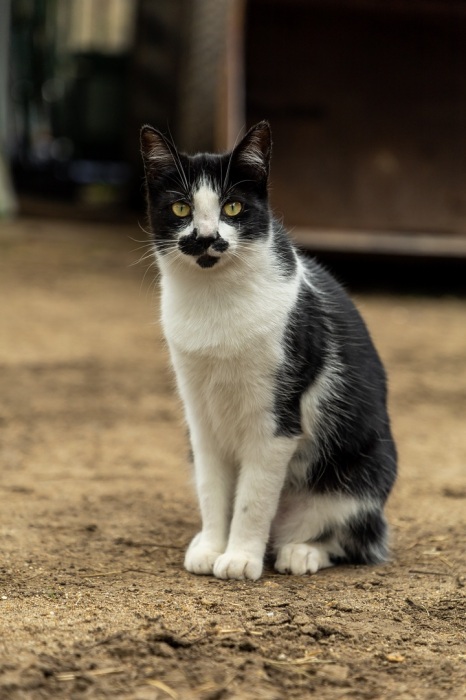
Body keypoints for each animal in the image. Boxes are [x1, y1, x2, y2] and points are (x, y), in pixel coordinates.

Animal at [139, 120, 396, 580]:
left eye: (233, 207)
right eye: (181, 209)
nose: (206, 238)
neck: (215, 301)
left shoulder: (276, 422)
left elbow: (253, 498)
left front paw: (240, 556)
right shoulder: (199, 417)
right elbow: (212, 488)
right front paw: (213, 546)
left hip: (364, 475)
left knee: (354, 538)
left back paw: (302, 551)